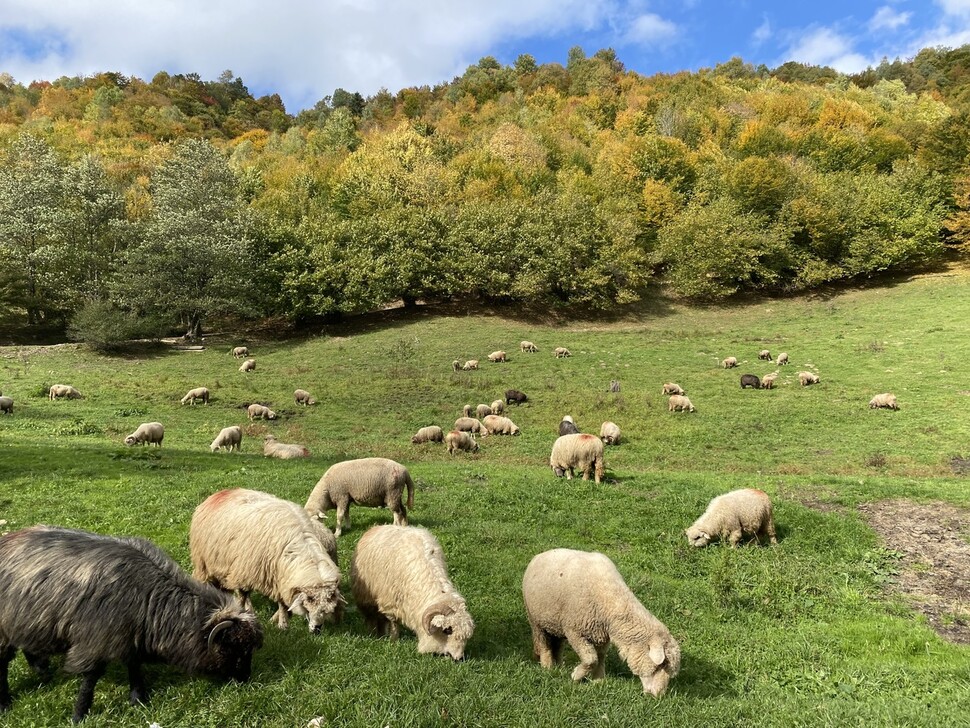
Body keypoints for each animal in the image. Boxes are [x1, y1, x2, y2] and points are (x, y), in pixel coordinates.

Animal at [0, 524, 260, 724]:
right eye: (231, 648)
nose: (246, 680)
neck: (152, 598)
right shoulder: (96, 641)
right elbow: (90, 680)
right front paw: (79, 715)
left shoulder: (130, 636)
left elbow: (134, 666)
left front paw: (138, 698)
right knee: (3, 661)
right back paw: (6, 702)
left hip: (26, 618)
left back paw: (41, 670)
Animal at [190, 486, 344, 636]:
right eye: (309, 603)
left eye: (327, 610)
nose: (317, 629)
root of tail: (220, 493)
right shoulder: (244, 570)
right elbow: (243, 595)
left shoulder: (281, 578)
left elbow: (282, 604)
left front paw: (283, 625)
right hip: (205, 562)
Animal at [350, 528, 474, 664]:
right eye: (447, 630)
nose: (459, 658)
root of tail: (377, 527)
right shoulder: (390, 602)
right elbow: (394, 623)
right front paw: (394, 641)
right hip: (365, 596)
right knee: (371, 617)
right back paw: (373, 634)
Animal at [520, 548, 680, 696]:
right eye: (661, 665)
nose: (658, 696)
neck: (609, 600)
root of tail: (542, 554)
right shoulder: (574, 631)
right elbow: (591, 659)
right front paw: (576, 676)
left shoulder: (601, 635)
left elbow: (601, 657)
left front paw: (598, 681)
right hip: (536, 620)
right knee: (544, 645)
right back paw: (547, 667)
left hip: (555, 624)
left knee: (557, 645)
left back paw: (559, 666)